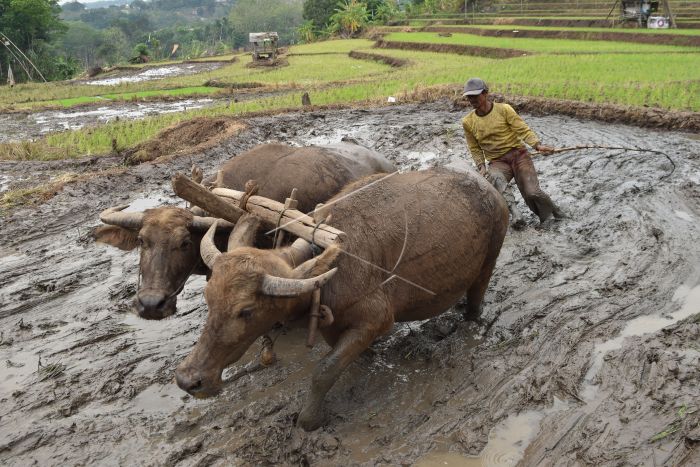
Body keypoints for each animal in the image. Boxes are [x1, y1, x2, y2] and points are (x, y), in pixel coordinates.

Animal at [172, 168, 506, 432]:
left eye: (246, 311)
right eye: (208, 297)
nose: (189, 380)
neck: (329, 268)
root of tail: (490, 190)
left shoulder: (375, 321)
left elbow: (323, 371)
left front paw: (309, 419)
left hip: (487, 263)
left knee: (476, 299)